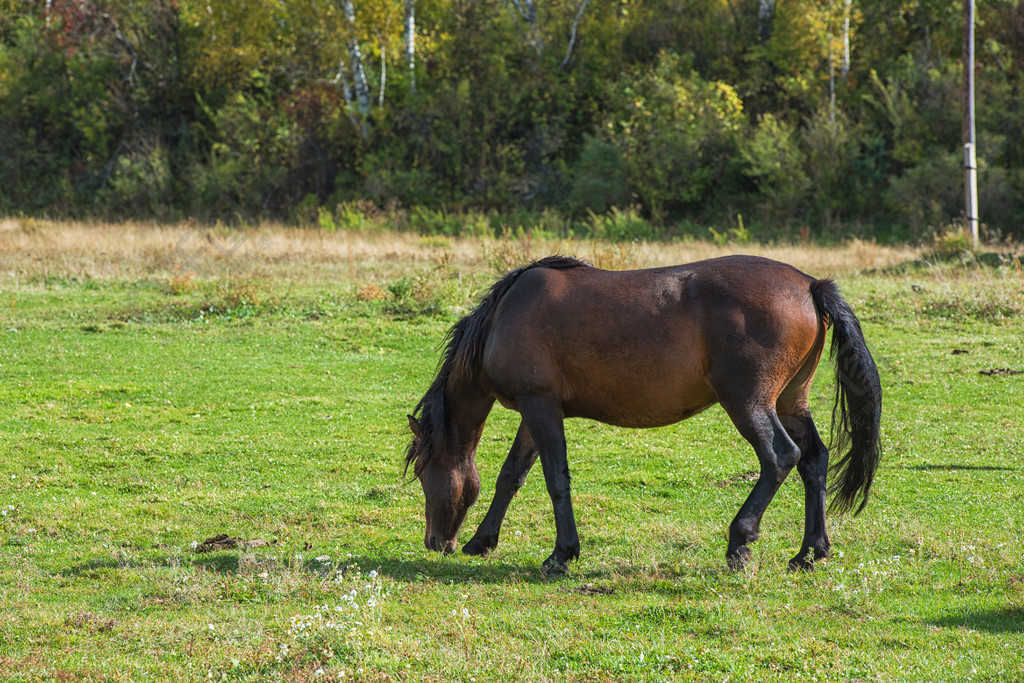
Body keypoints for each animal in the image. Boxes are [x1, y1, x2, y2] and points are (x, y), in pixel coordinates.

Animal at [403, 254, 884, 573]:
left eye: (424, 472)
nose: (435, 543)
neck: (505, 316)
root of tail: (809, 284)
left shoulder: (539, 406)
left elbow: (556, 479)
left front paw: (561, 554)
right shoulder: (535, 410)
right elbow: (510, 477)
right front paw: (482, 541)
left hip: (748, 403)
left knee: (779, 458)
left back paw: (740, 542)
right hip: (791, 402)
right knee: (813, 461)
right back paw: (810, 551)